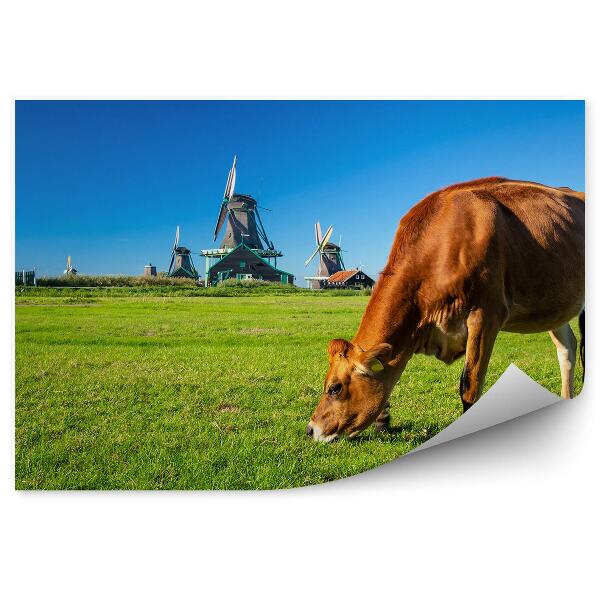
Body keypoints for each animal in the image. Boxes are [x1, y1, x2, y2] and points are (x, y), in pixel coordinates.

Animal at [308, 177, 584, 440]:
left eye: (335, 387)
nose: (311, 429)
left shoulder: (486, 316)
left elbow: (470, 387)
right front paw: (382, 419)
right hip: (554, 306)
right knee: (567, 349)